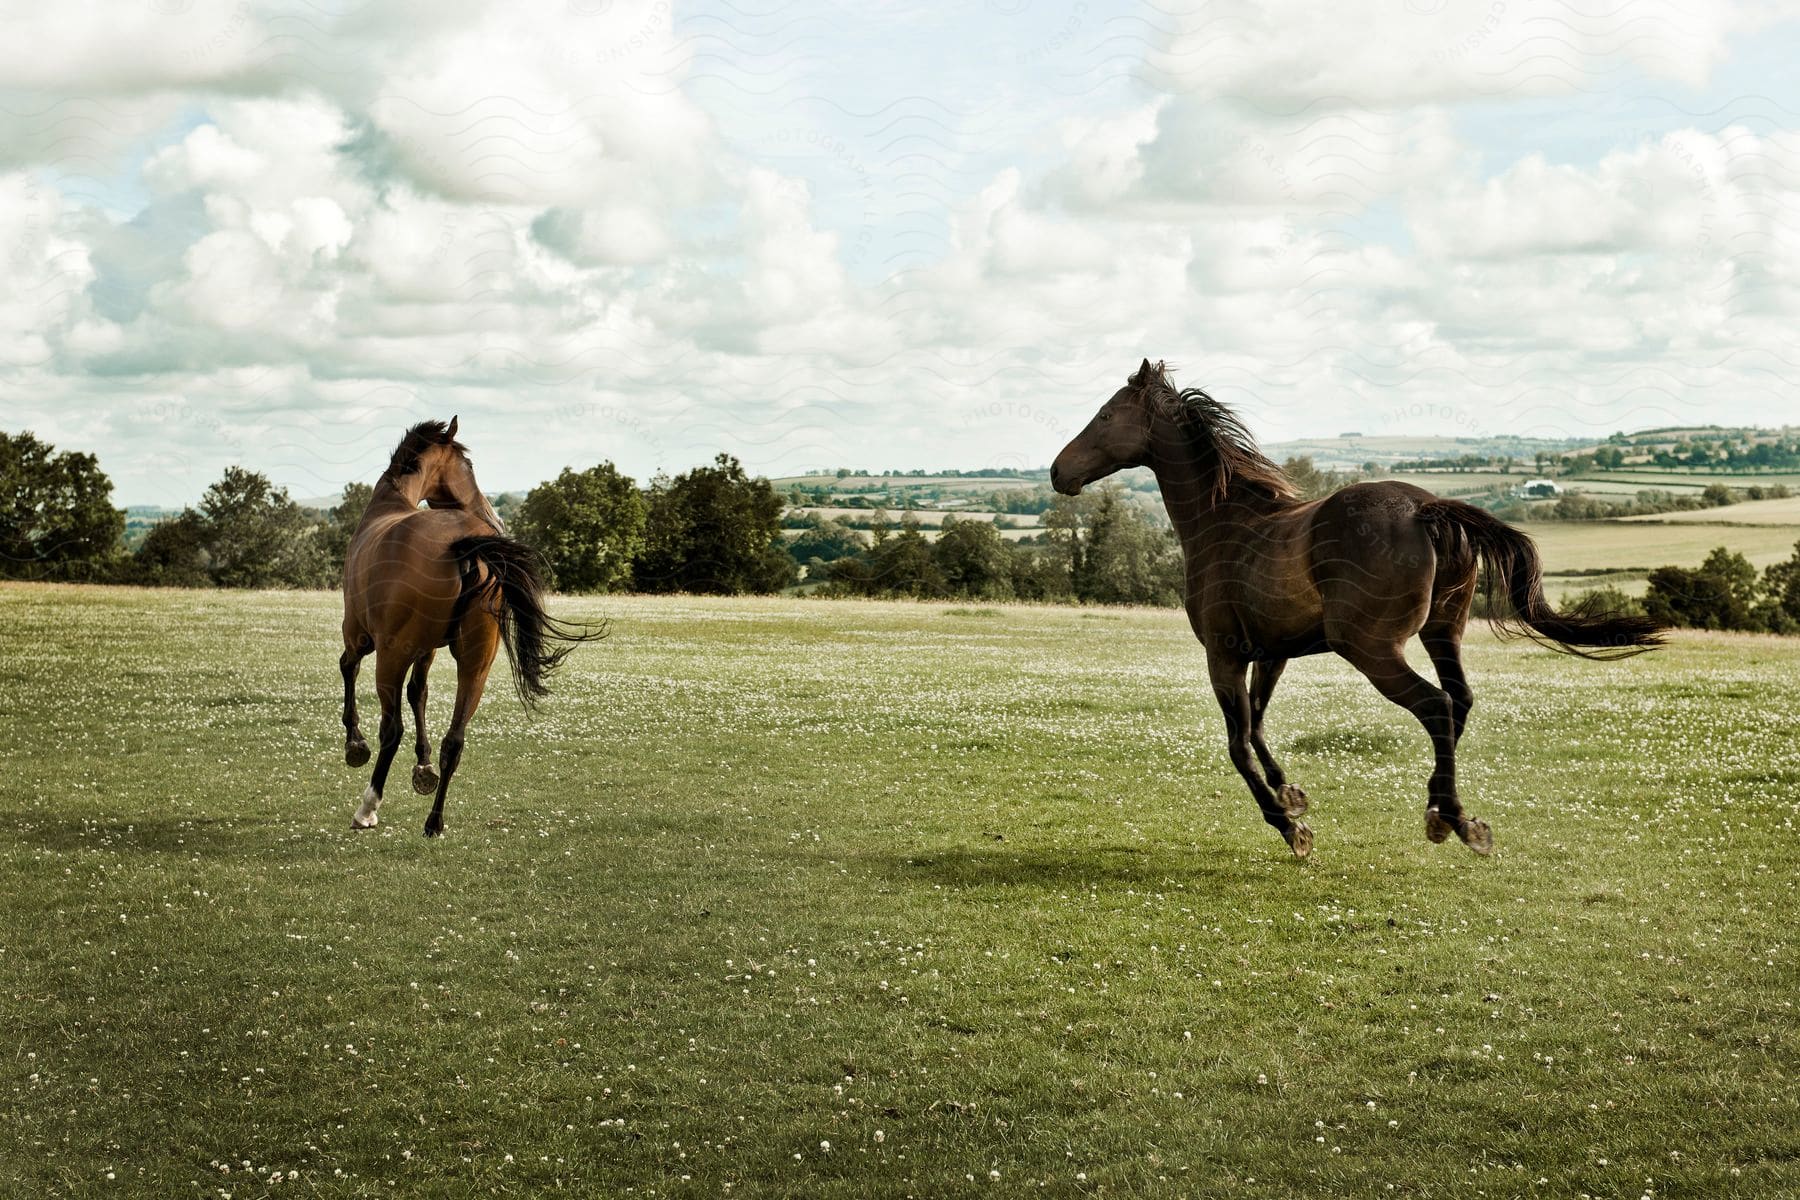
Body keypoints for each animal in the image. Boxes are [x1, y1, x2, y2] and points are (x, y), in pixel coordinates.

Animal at [331, 417, 597, 841]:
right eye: (469, 466)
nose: (495, 516)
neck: (389, 507)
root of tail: (464, 547)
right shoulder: (427, 650)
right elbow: (419, 693)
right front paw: (423, 768)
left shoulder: (359, 634)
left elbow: (349, 668)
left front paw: (355, 744)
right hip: (475, 664)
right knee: (454, 740)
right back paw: (434, 822)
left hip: (390, 656)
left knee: (392, 729)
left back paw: (368, 808)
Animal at [1051, 361, 1663, 859]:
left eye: (1105, 415)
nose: (1058, 472)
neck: (1222, 521)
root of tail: (1424, 508)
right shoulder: (1272, 653)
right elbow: (1259, 724)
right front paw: (1292, 795)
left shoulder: (1223, 656)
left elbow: (1237, 743)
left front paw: (1290, 828)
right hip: (1442, 630)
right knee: (1459, 702)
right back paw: (1437, 812)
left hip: (1369, 647)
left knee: (1437, 706)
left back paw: (1461, 824)